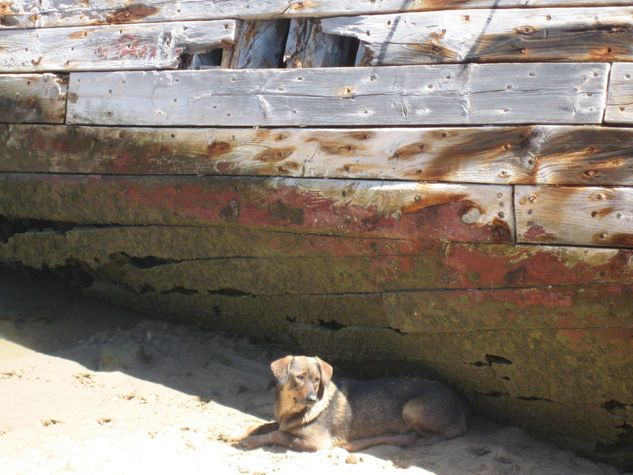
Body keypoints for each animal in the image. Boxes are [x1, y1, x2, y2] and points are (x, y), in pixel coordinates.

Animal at [239, 356, 466, 452]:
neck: (292, 411)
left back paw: (419, 442)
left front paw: (251, 441)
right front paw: (250, 431)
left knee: (447, 434)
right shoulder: (283, 421)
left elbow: (277, 434)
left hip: (412, 408)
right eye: (300, 378)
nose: (312, 399)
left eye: (317, 380)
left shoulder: (315, 442)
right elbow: (269, 425)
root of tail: (460, 402)